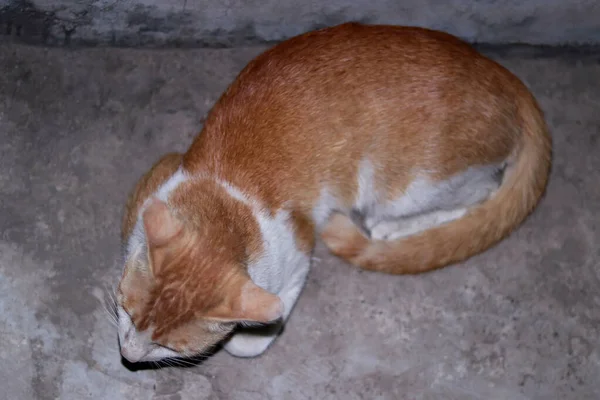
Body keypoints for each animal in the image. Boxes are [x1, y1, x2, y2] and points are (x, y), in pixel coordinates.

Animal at [115, 21, 552, 362]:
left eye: (169, 347)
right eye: (126, 312)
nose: (129, 356)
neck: (225, 198)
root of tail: (502, 74)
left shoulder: (296, 252)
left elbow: (255, 332)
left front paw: (245, 338)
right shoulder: (162, 173)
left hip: (404, 186)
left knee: (483, 191)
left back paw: (394, 228)